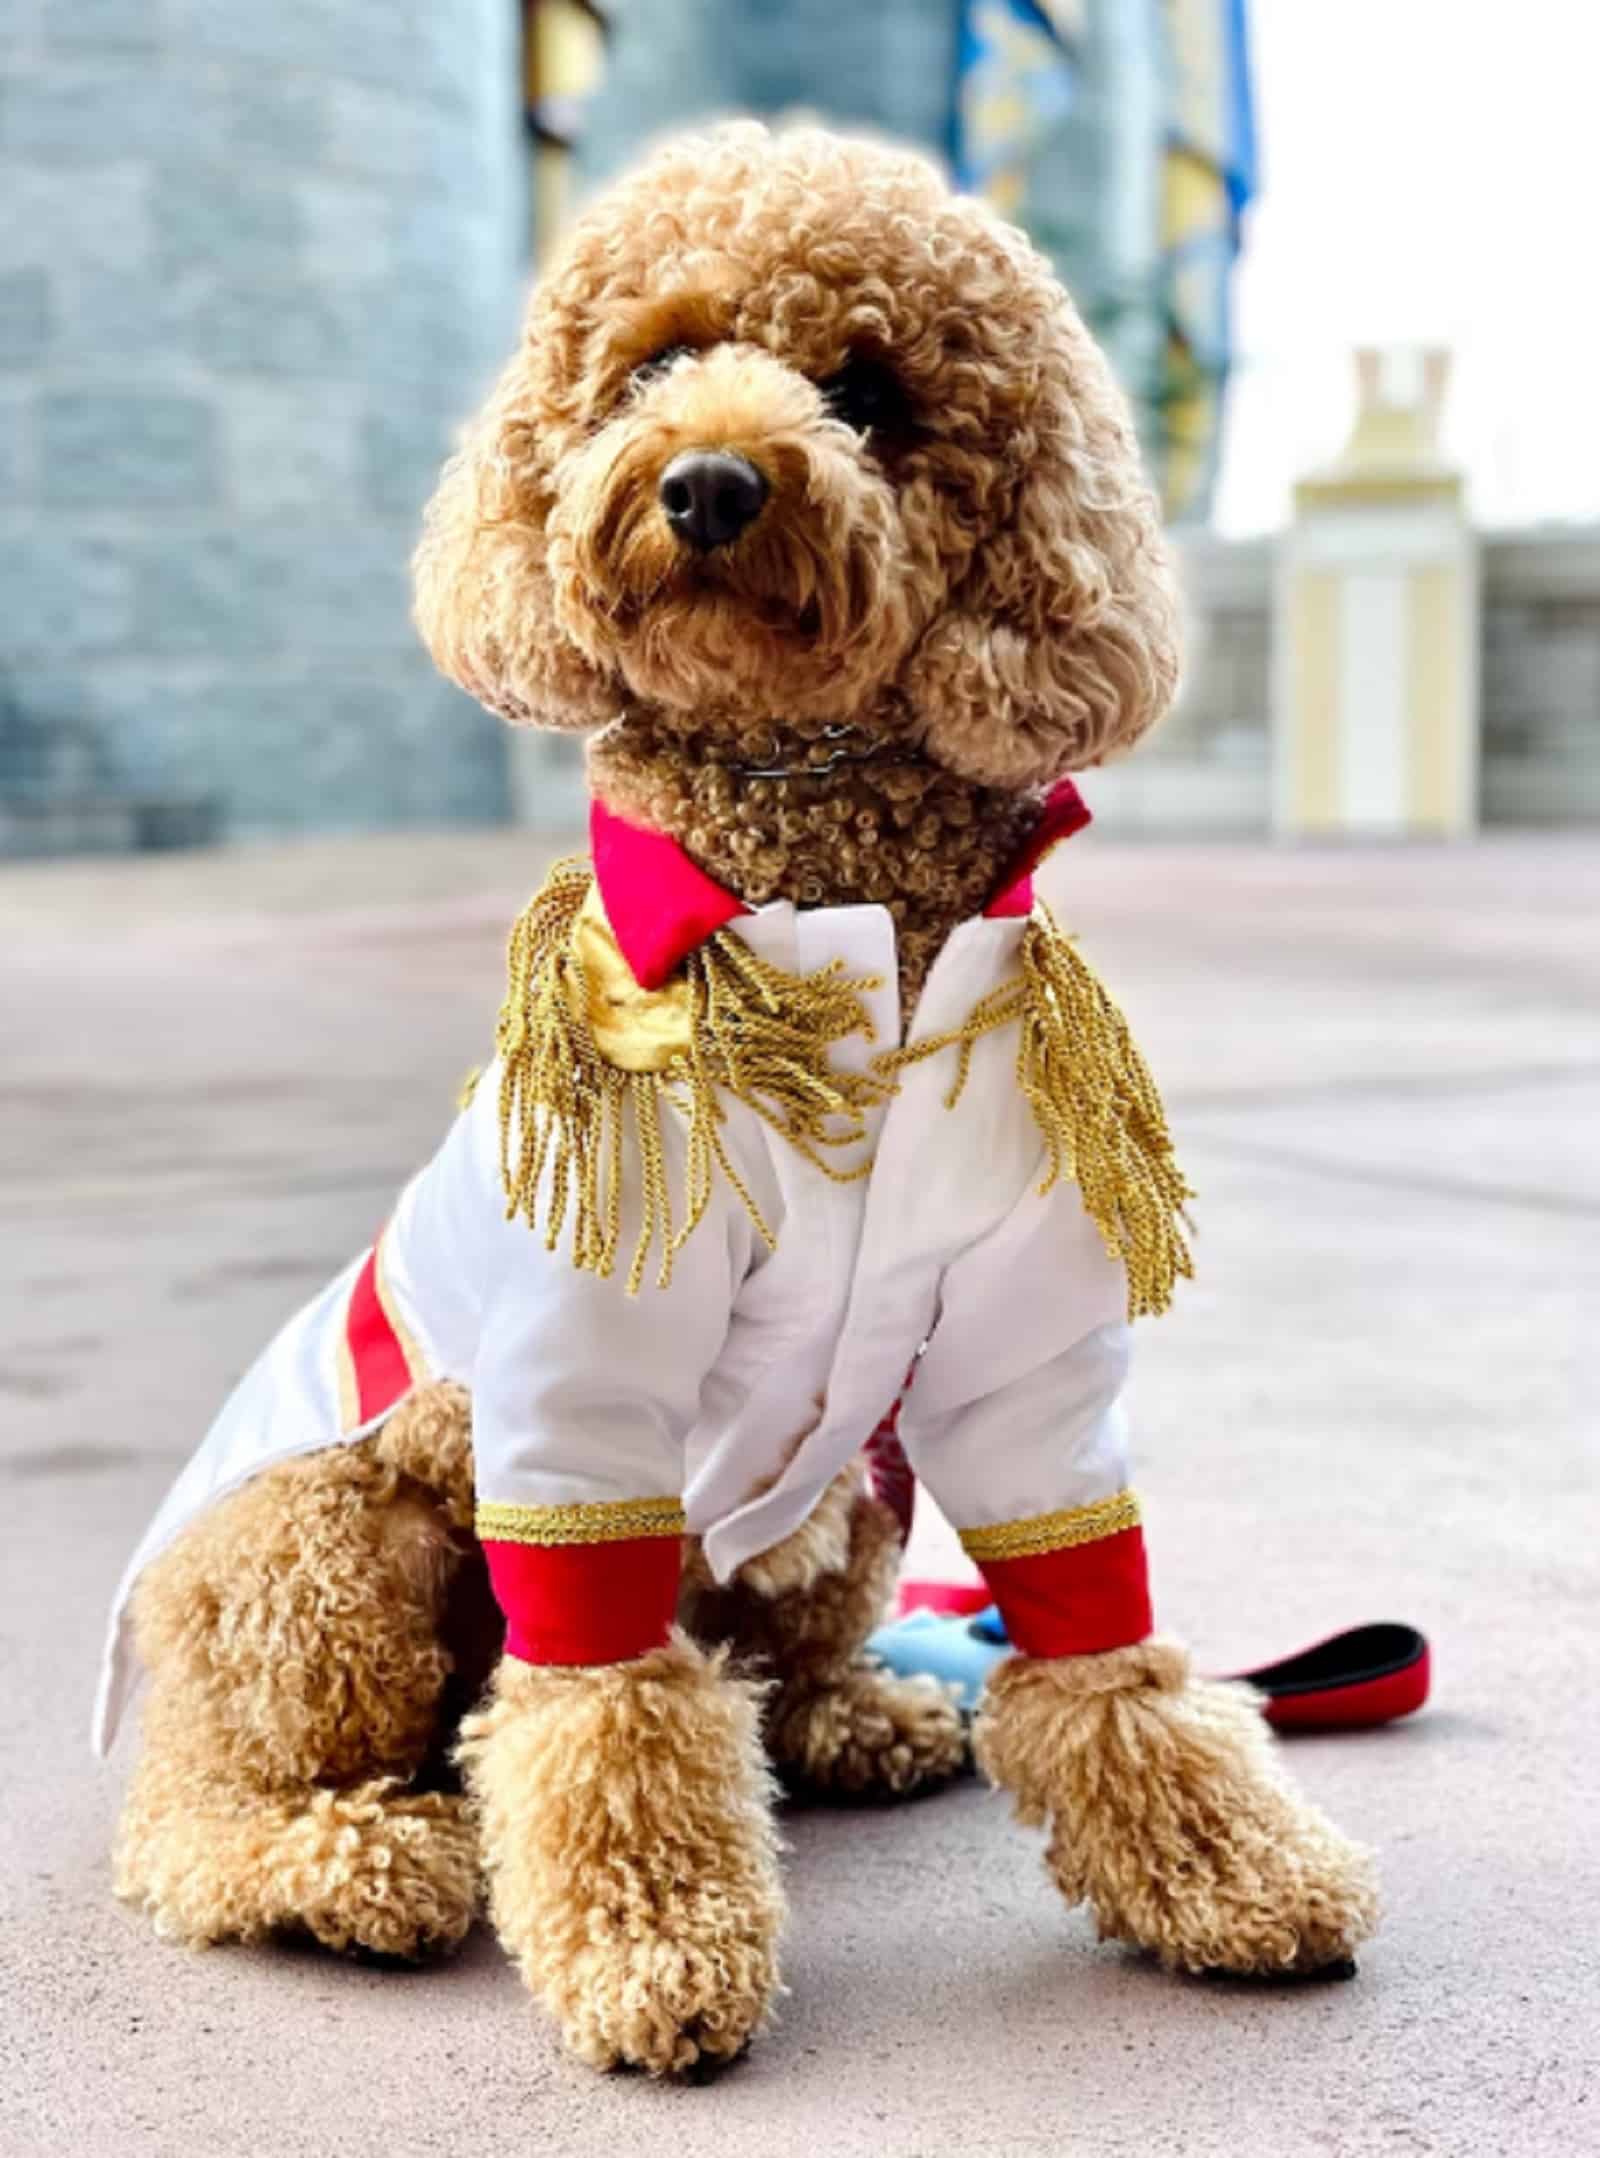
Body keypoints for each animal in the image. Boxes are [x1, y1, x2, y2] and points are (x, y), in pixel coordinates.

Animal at [103, 126, 1373, 2080]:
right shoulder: (582, 1379)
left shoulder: (1019, 1350)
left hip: (849, 1486)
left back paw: (863, 1715)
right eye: (647, 364)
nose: (704, 482)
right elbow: (608, 1695)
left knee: (782, 1662)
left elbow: (1099, 1641)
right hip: (329, 1562)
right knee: (191, 1811)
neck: (809, 848)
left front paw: (1232, 1864)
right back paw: (365, 1862)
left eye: (868, 391)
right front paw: (657, 1944)